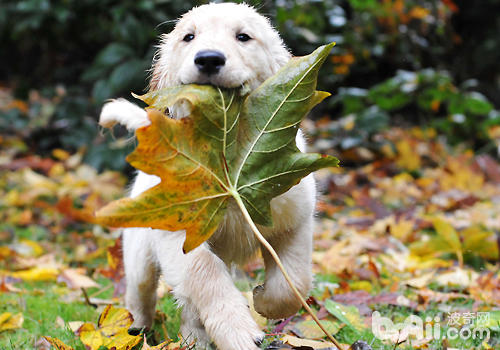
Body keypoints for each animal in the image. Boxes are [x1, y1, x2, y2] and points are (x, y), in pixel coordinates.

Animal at [99, 3, 314, 350]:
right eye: (189, 37)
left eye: (243, 37)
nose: (209, 58)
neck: (226, 148)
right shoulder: (180, 236)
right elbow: (206, 274)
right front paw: (238, 332)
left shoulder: (294, 220)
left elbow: (294, 279)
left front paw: (264, 301)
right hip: (140, 252)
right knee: (141, 294)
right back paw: (135, 330)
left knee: (189, 310)